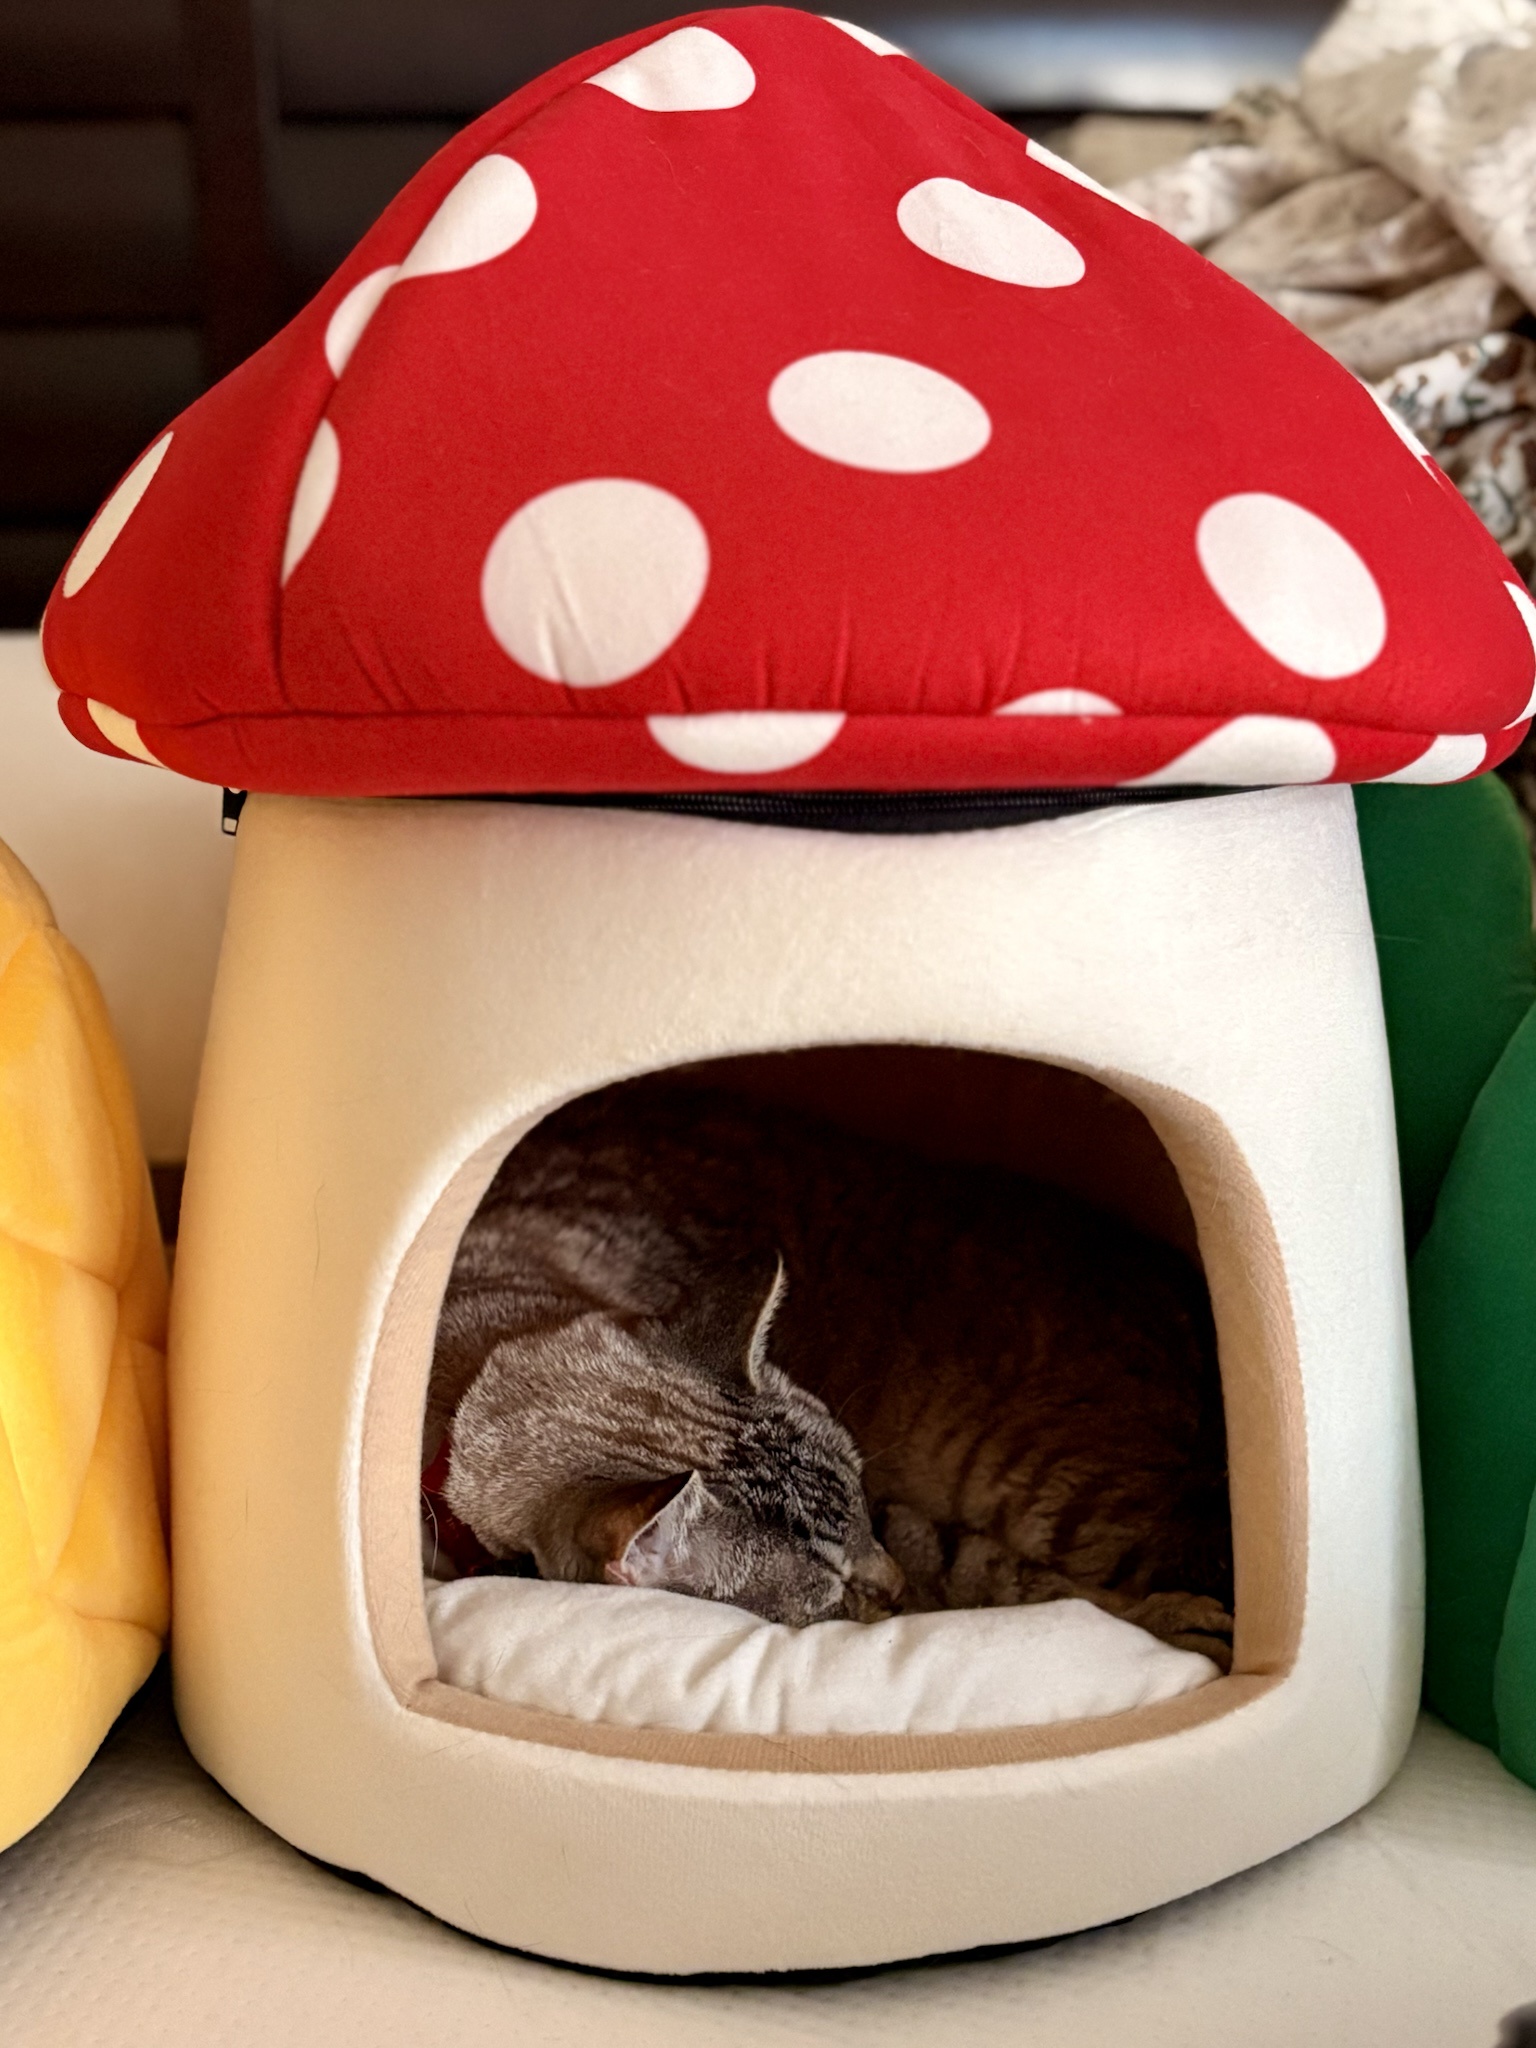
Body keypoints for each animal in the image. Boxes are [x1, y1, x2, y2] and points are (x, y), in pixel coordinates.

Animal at [423, 1073, 1236, 1662]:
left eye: (865, 1506)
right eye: (830, 1588)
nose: (895, 1586)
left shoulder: (916, 1524)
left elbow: (1000, 1574)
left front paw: (1161, 1621)